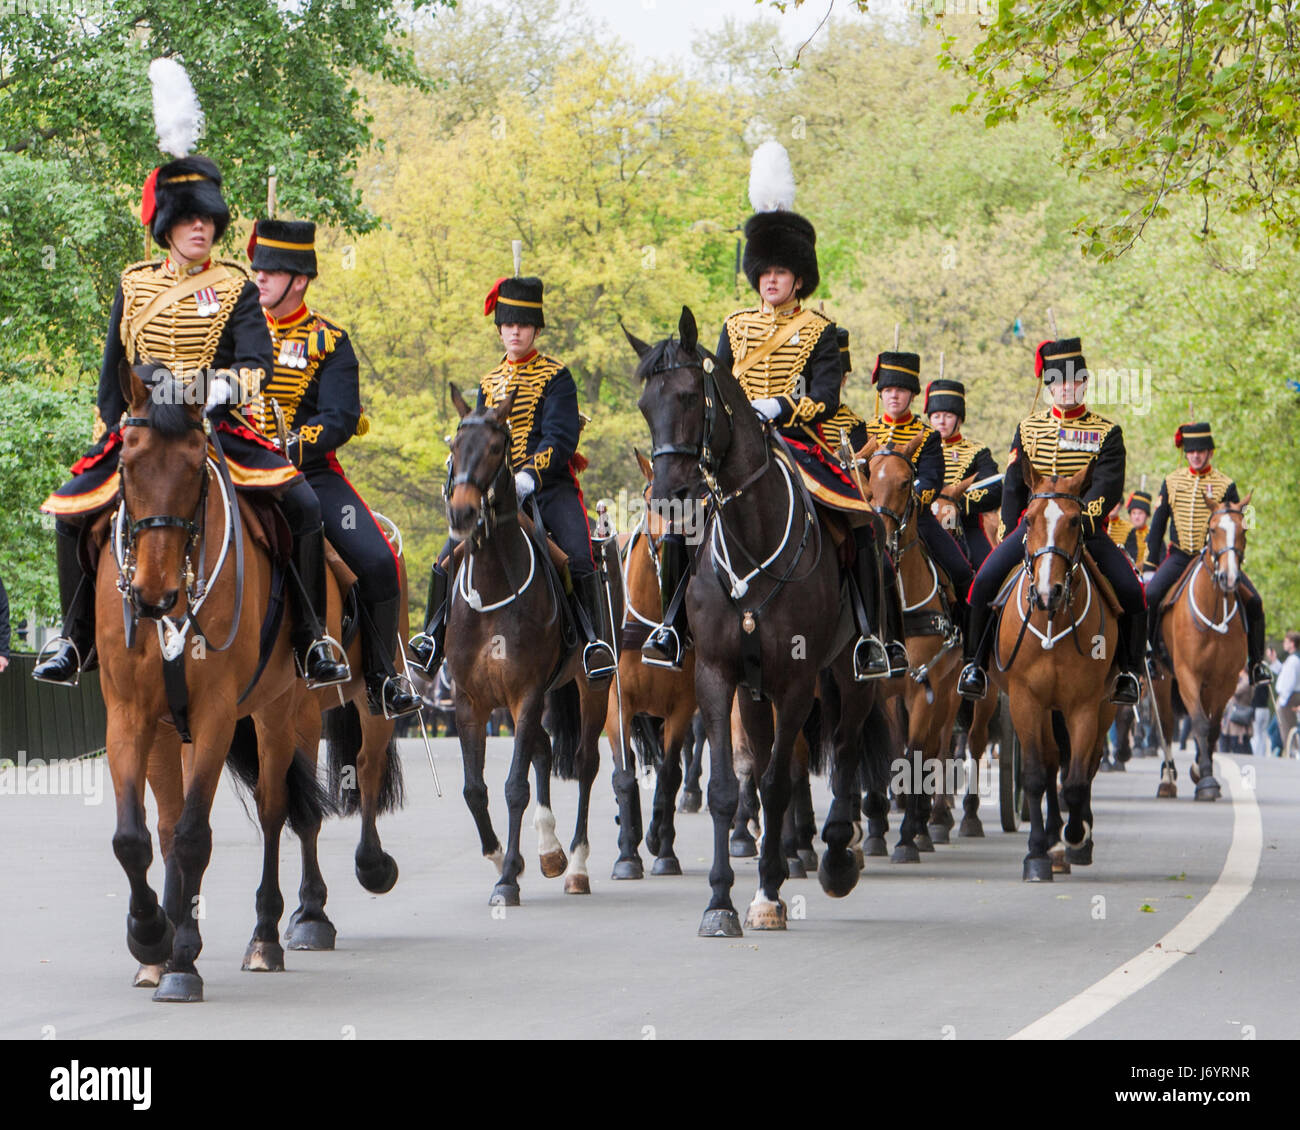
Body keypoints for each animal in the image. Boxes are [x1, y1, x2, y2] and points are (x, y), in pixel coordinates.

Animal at [444, 382, 611, 905]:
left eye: (496, 447)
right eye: (455, 446)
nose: (462, 513)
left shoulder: (526, 692)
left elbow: (514, 785)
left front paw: (505, 881)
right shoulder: (470, 701)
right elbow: (474, 789)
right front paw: (501, 856)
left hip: (591, 687)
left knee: (584, 763)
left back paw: (575, 863)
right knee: (540, 749)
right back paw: (547, 850)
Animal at [631, 301, 894, 936]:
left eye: (689, 396)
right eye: (646, 405)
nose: (672, 497)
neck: (752, 534)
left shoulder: (796, 681)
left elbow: (777, 782)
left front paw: (771, 887)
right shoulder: (719, 675)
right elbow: (730, 786)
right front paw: (722, 901)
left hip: (848, 675)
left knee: (846, 748)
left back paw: (837, 854)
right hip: (757, 690)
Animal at [982, 462, 1118, 879]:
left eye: (1075, 520)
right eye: (1028, 520)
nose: (1047, 592)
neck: (1052, 622)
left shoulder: (1085, 705)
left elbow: (1075, 779)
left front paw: (1076, 836)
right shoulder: (1026, 701)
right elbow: (1036, 774)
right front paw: (1038, 853)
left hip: (1105, 706)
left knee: (1085, 764)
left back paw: (1076, 838)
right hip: (1044, 709)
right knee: (1053, 760)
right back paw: (1054, 841)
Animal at [1154, 488, 1253, 795]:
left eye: (1243, 530)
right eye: (1213, 529)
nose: (1229, 577)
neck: (1214, 609)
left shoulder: (1225, 680)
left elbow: (1213, 727)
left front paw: (1202, 770)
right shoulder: (1187, 674)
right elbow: (1197, 721)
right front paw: (1207, 780)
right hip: (1163, 679)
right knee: (1167, 724)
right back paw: (1167, 779)